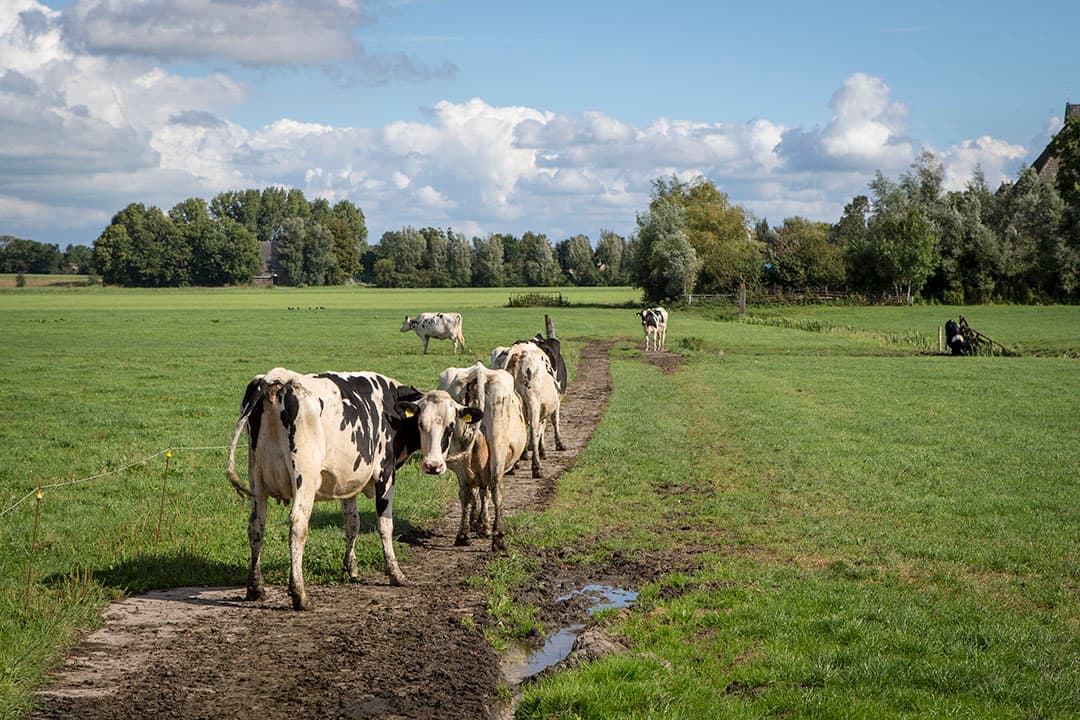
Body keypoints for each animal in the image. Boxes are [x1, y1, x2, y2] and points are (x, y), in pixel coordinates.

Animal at [226, 367, 422, 611]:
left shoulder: (349, 482)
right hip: (304, 478)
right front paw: (396, 574)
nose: (435, 465)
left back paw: (256, 589)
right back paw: (299, 595)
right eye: (424, 421)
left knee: (255, 526)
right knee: (298, 525)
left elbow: (352, 523)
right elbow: (385, 525)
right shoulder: (385, 474)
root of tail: (278, 378)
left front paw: (351, 568)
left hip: (257, 480)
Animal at [407, 363, 528, 550]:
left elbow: (477, 493)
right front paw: (482, 525)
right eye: (420, 424)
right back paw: (494, 537)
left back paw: (467, 534)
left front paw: (479, 525)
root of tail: (479, 372)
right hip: (497, 446)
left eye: (450, 424)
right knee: (494, 488)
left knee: (468, 491)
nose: (433, 465)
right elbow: (481, 493)